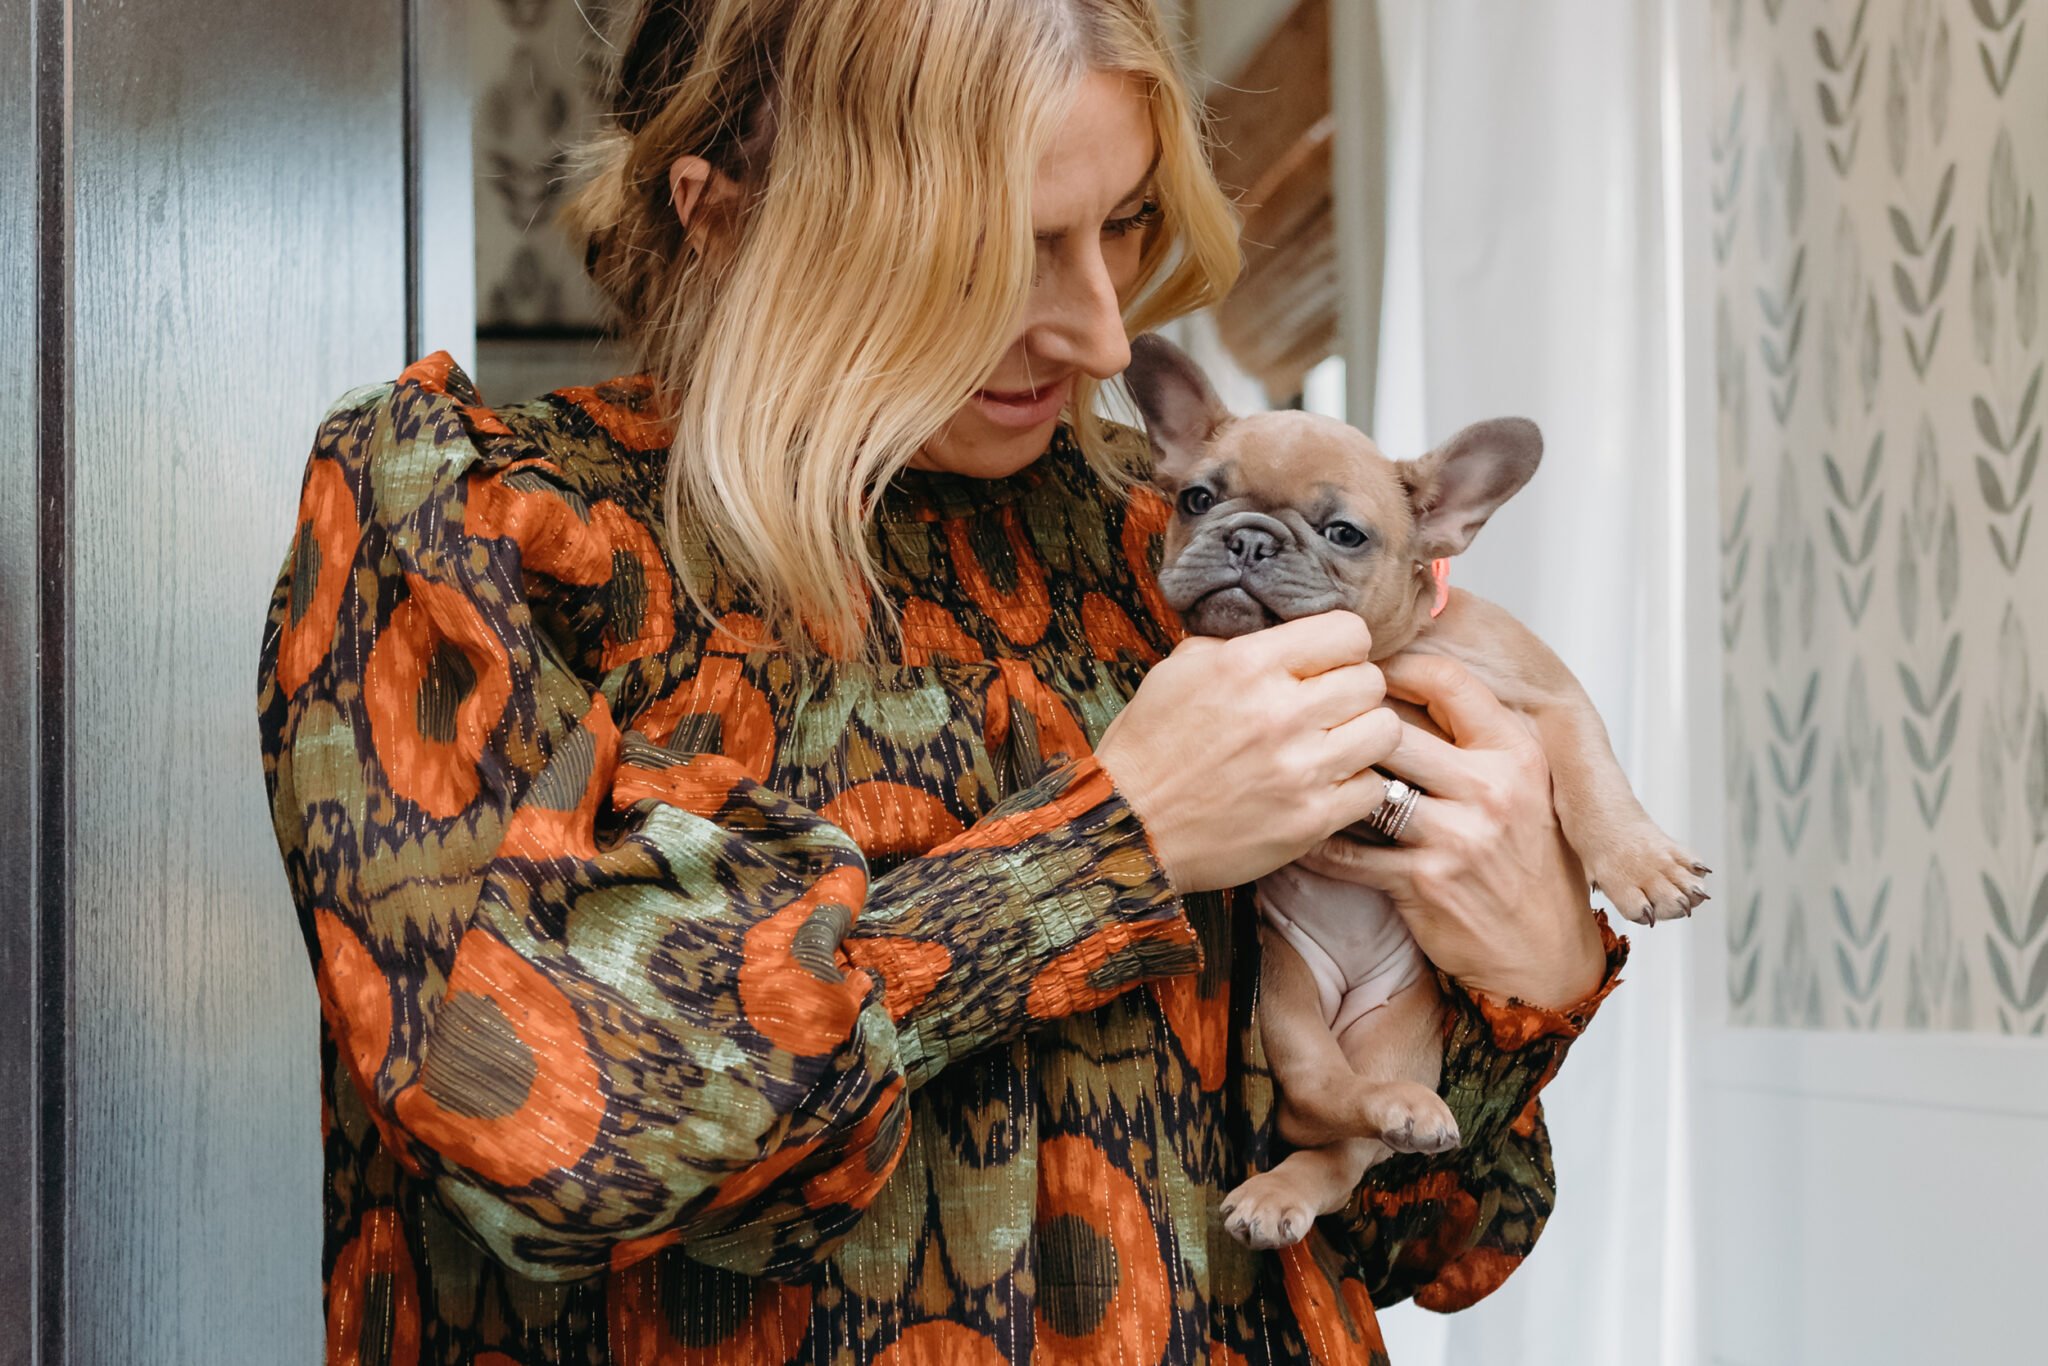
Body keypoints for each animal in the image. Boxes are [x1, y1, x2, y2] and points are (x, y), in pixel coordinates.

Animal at [1122, 331, 1712, 1253]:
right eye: (1196, 497)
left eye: (1344, 533)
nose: (1247, 539)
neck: (1385, 651)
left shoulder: (1554, 701)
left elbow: (1590, 782)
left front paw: (1640, 863)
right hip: (1285, 999)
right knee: (1320, 1093)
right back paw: (1364, 1133)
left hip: (1397, 1026)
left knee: (1338, 1148)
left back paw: (1343, 1153)